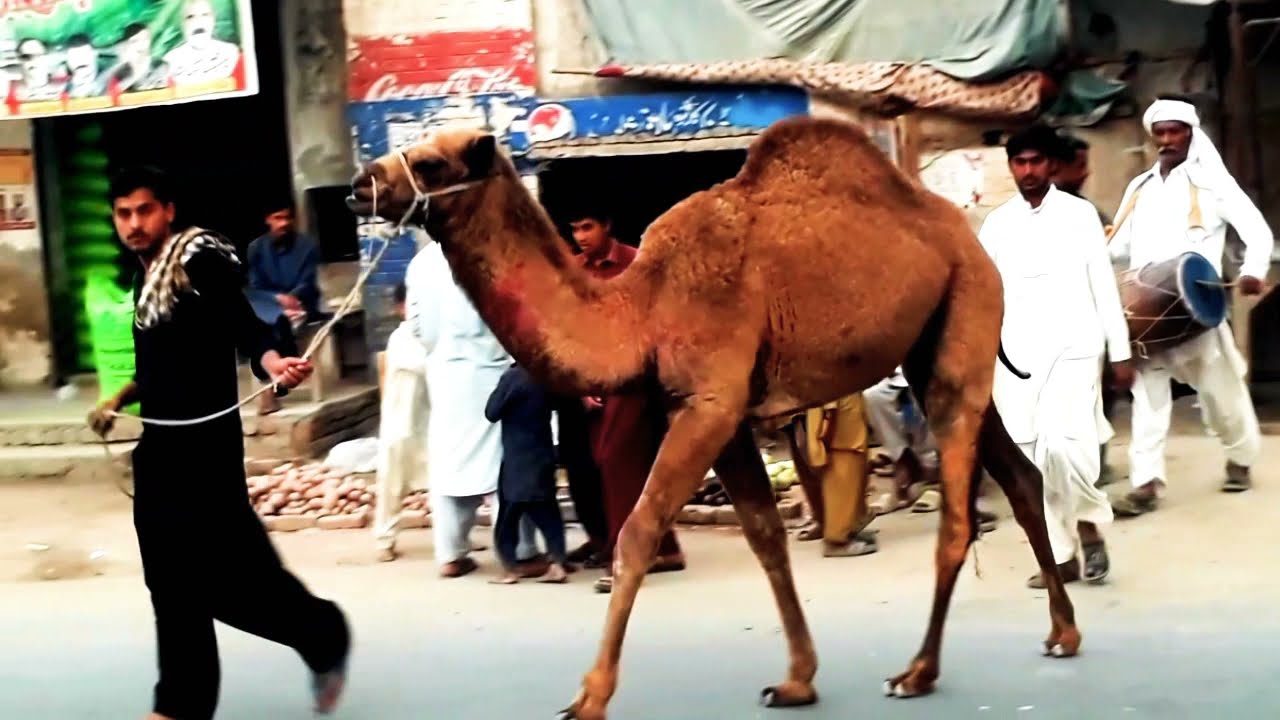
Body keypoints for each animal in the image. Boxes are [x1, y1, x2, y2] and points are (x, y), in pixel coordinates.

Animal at [347, 116, 1079, 720]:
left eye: (431, 162)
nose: (360, 184)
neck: (642, 310)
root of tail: (964, 234)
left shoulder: (708, 403)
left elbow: (639, 529)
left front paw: (589, 697)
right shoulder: (714, 413)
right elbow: (764, 534)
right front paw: (797, 680)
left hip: (966, 308)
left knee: (959, 510)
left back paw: (918, 671)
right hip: (932, 346)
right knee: (1019, 475)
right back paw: (1062, 631)